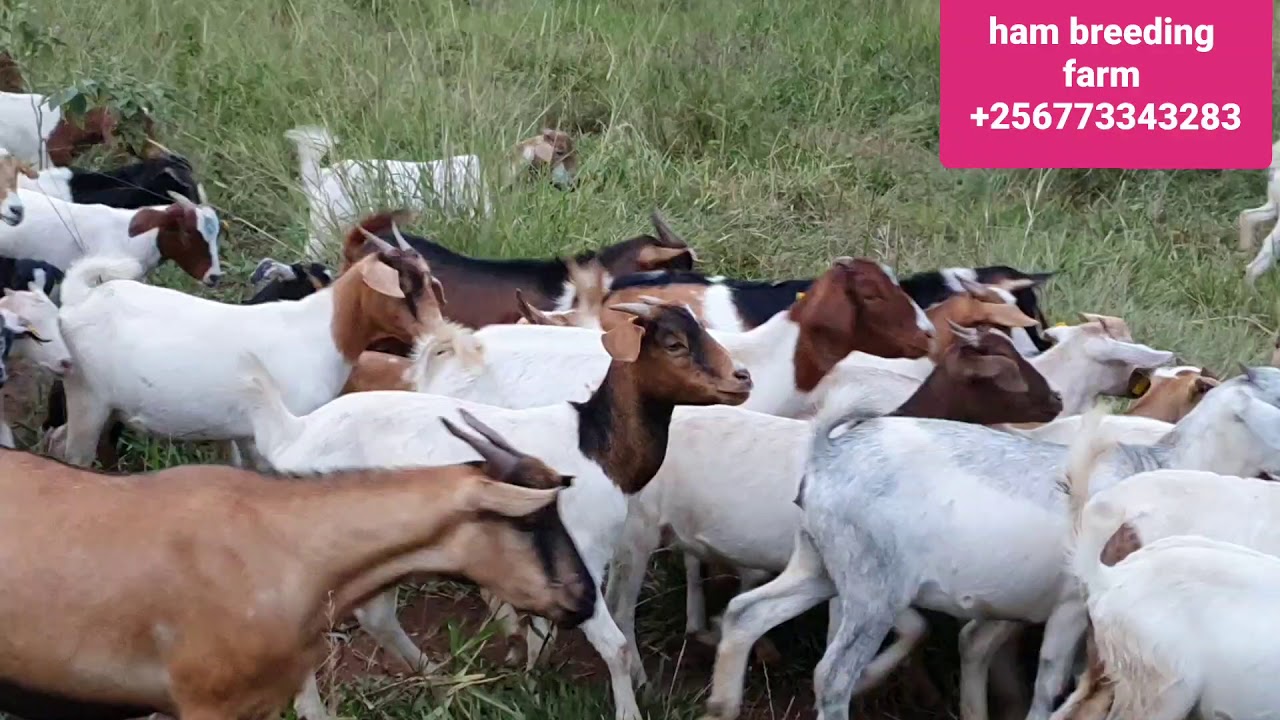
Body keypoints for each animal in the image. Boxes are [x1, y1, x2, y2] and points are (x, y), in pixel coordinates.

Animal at [49, 227, 444, 468]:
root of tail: (80, 297)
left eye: (429, 281)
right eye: (404, 284)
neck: (322, 329)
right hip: (88, 397)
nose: (437, 331)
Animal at [244, 299, 753, 720]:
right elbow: (615, 646)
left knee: (377, 617)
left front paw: (530, 677)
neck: (593, 443)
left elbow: (546, 632)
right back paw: (318, 710)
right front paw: (627, 711)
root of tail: (293, 436)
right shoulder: (582, 554)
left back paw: (438, 678)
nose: (741, 379)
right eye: (673, 343)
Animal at [607, 325, 1063, 680]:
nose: (1056, 399)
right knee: (621, 609)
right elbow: (903, 630)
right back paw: (642, 679)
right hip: (636, 534)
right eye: (1002, 365)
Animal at [698, 366, 1280, 720]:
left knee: (746, 613)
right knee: (833, 673)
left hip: (818, 561)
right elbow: (1051, 681)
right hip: (871, 585)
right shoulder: (1071, 606)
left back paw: (722, 705)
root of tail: (828, 452)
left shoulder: (1023, 605)